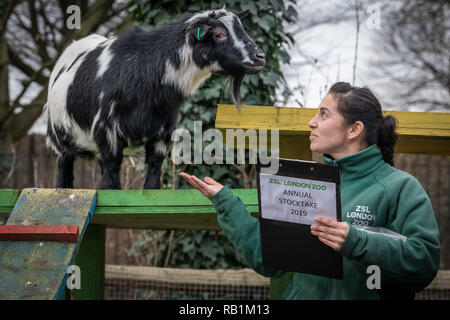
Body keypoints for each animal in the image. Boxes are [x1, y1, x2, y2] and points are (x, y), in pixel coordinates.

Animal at [44, 8, 266, 189]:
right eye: (219, 34)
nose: (260, 57)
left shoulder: (161, 135)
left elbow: (152, 177)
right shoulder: (107, 132)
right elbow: (110, 181)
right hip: (60, 139)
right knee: (64, 172)